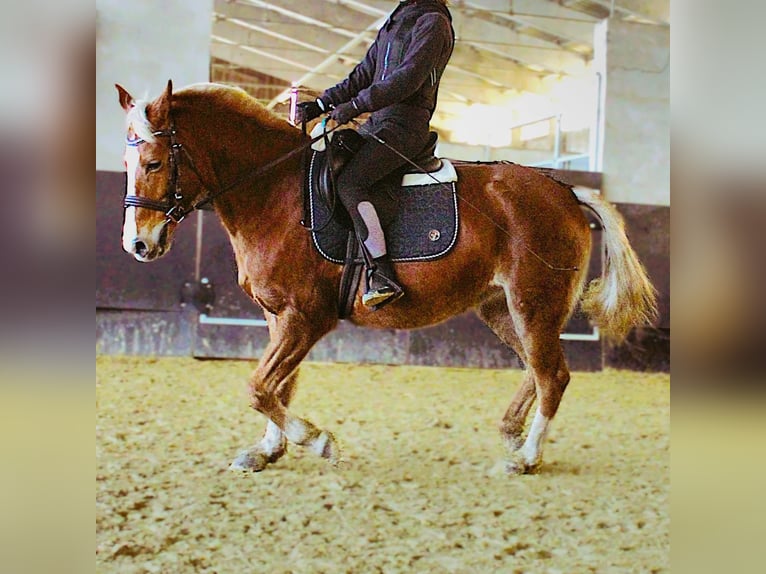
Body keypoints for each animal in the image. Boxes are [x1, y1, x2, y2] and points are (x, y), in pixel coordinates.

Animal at [114, 81, 660, 476]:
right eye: (124, 162)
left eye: (155, 162)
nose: (137, 245)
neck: (274, 191)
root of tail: (565, 191)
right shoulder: (277, 317)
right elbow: (277, 388)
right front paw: (268, 451)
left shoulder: (304, 318)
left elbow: (259, 387)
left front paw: (317, 441)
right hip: (501, 307)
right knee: (536, 368)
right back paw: (512, 432)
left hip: (534, 303)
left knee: (553, 375)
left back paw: (525, 458)